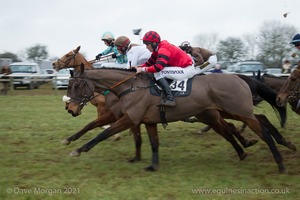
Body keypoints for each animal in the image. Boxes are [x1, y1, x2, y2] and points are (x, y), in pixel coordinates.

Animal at [66, 65, 290, 172]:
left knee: (263, 132)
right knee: (250, 122)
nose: (70, 108)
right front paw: (152, 165)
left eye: (76, 85)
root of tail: (238, 77)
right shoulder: (148, 121)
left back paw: (280, 162)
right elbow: (153, 143)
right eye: (69, 85)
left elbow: (101, 134)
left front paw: (78, 150)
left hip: (237, 110)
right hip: (222, 112)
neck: (130, 87)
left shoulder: (129, 118)